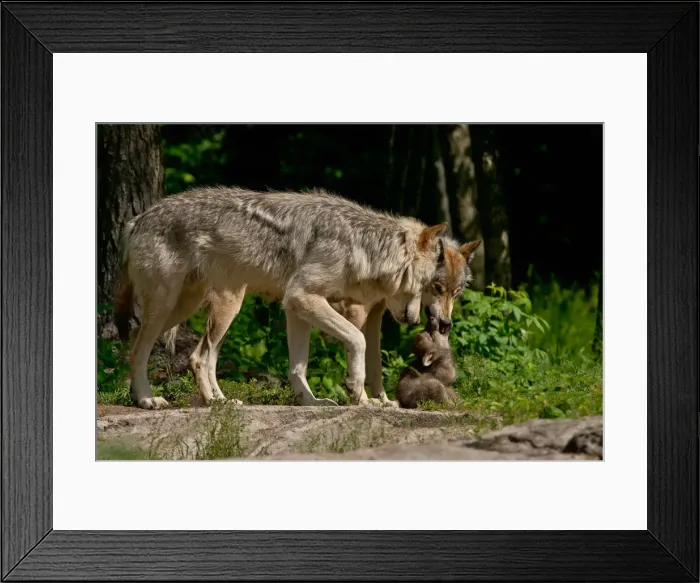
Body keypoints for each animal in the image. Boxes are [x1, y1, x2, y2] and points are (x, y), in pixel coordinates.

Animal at [114, 186, 481, 409]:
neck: (362, 246)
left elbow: (298, 366)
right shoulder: (308, 298)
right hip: (179, 308)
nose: (435, 323)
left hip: (203, 308)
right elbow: (358, 341)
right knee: (159, 353)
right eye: (432, 287)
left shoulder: (296, 308)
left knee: (195, 355)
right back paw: (151, 400)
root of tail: (137, 219)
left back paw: (219, 400)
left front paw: (312, 402)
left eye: (456, 292)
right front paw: (358, 394)